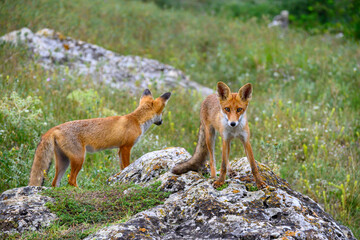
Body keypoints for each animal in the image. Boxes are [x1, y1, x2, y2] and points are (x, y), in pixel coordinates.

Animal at [28, 89, 172, 187]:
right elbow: (127, 165)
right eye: (163, 112)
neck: (136, 120)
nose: (162, 122)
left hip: (64, 161)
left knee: (54, 183)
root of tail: (54, 128)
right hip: (79, 159)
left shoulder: (120, 149)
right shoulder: (126, 147)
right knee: (71, 180)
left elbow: (122, 168)